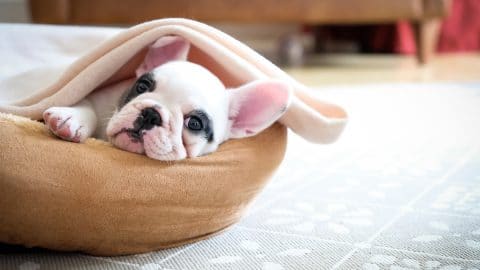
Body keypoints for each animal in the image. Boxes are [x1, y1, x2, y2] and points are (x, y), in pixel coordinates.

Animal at [43, 37, 290, 161]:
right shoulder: (98, 95)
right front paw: (71, 119)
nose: (151, 114)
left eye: (195, 123)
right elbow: (87, 104)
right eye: (142, 86)